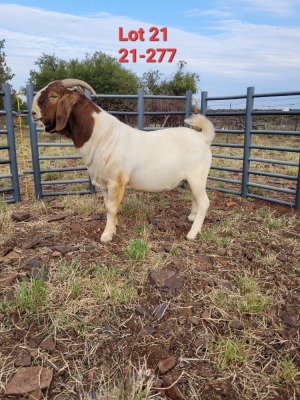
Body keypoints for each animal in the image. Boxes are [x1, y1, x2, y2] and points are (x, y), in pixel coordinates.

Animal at [31, 77, 214, 241]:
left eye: (53, 96)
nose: (32, 113)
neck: (102, 135)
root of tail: (202, 137)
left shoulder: (116, 182)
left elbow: (111, 208)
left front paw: (106, 235)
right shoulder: (104, 184)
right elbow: (108, 206)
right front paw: (114, 226)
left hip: (197, 177)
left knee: (204, 202)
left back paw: (192, 233)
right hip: (190, 180)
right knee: (195, 198)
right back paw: (191, 217)